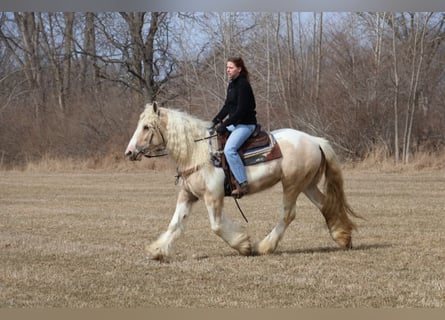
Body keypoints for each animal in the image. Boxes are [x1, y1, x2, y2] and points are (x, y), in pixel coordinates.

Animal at [123, 102, 360, 260]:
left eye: (146, 127)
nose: (129, 152)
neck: (198, 152)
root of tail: (314, 140)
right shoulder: (187, 195)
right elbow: (175, 223)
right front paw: (157, 250)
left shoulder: (213, 197)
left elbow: (217, 226)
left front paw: (244, 246)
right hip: (307, 184)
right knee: (326, 204)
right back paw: (342, 237)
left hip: (292, 185)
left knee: (288, 214)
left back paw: (265, 246)